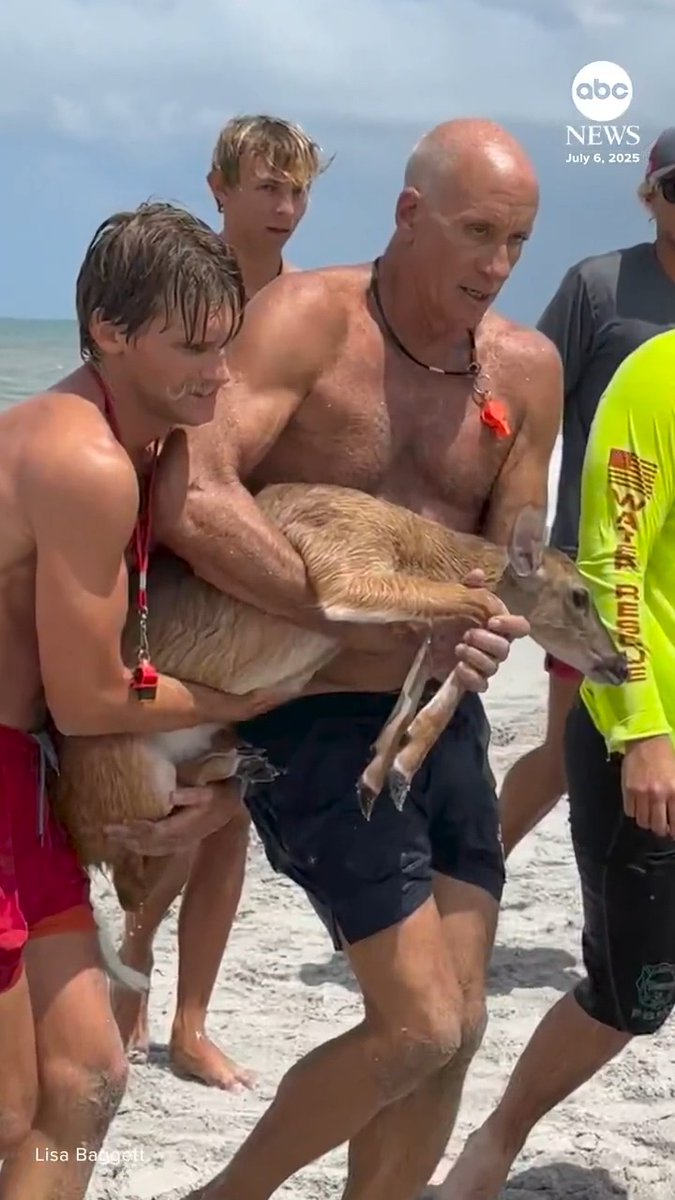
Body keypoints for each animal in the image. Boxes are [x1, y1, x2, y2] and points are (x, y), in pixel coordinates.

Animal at [48, 482, 627, 990]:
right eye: (580, 595)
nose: (620, 663)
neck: (418, 546)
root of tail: (78, 830)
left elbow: (429, 665)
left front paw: (379, 774)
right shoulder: (344, 571)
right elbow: (485, 608)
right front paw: (395, 771)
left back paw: (248, 764)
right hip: (136, 772)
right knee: (133, 874)